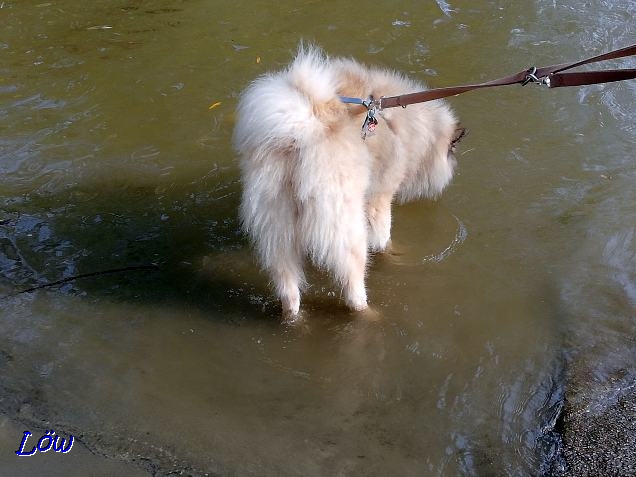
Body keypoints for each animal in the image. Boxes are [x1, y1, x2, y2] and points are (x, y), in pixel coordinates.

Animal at [234, 45, 462, 316]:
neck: (395, 121)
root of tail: (299, 134)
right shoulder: (379, 198)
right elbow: (383, 238)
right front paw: (394, 253)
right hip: (346, 227)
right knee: (352, 286)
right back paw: (368, 311)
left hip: (278, 229)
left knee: (289, 290)